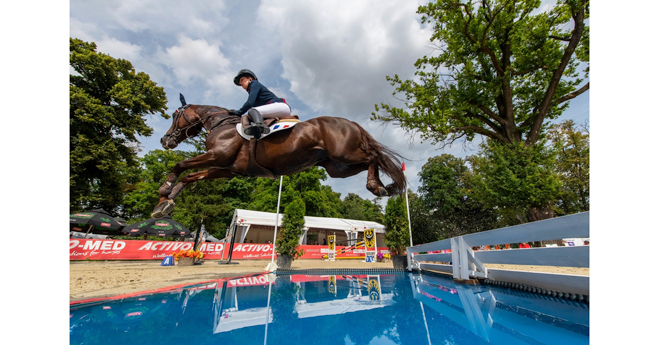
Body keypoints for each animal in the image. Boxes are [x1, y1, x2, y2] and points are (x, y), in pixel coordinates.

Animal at [151, 97, 404, 218]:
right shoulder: (225, 168)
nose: (164, 140)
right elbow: (189, 176)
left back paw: (377, 186)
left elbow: (180, 164)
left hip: (345, 153)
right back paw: (381, 186)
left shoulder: (217, 156)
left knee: (373, 157)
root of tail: (350, 122)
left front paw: (164, 192)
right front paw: (165, 204)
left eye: (175, 115)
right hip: (338, 167)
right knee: (369, 162)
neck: (220, 124)